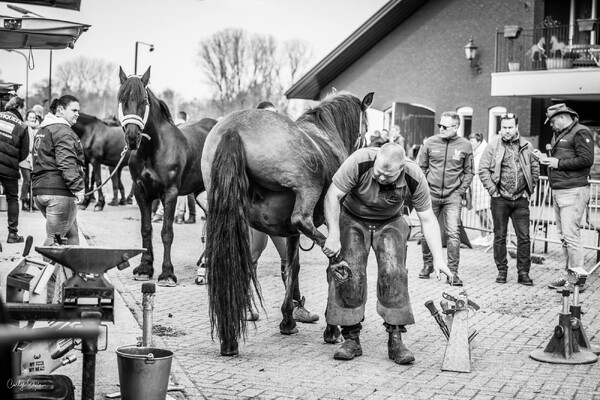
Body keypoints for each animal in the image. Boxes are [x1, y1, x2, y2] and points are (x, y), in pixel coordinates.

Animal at [116, 66, 216, 284]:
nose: (132, 137)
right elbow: (146, 229)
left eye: (144, 101)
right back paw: (204, 265)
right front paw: (145, 268)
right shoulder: (141, 193)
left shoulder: (170, 193)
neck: (152, 149)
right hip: (201, 194)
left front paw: (167, 273)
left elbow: (166, 232)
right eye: (121, 99)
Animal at [203, 90, 370, 354]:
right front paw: (331, 329)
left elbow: (292, 267)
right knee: (303, 221)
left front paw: (288, 319)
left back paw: (229, 339)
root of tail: (233, 130)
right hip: (307, 187)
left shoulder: (289, 233)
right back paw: (338, 262)